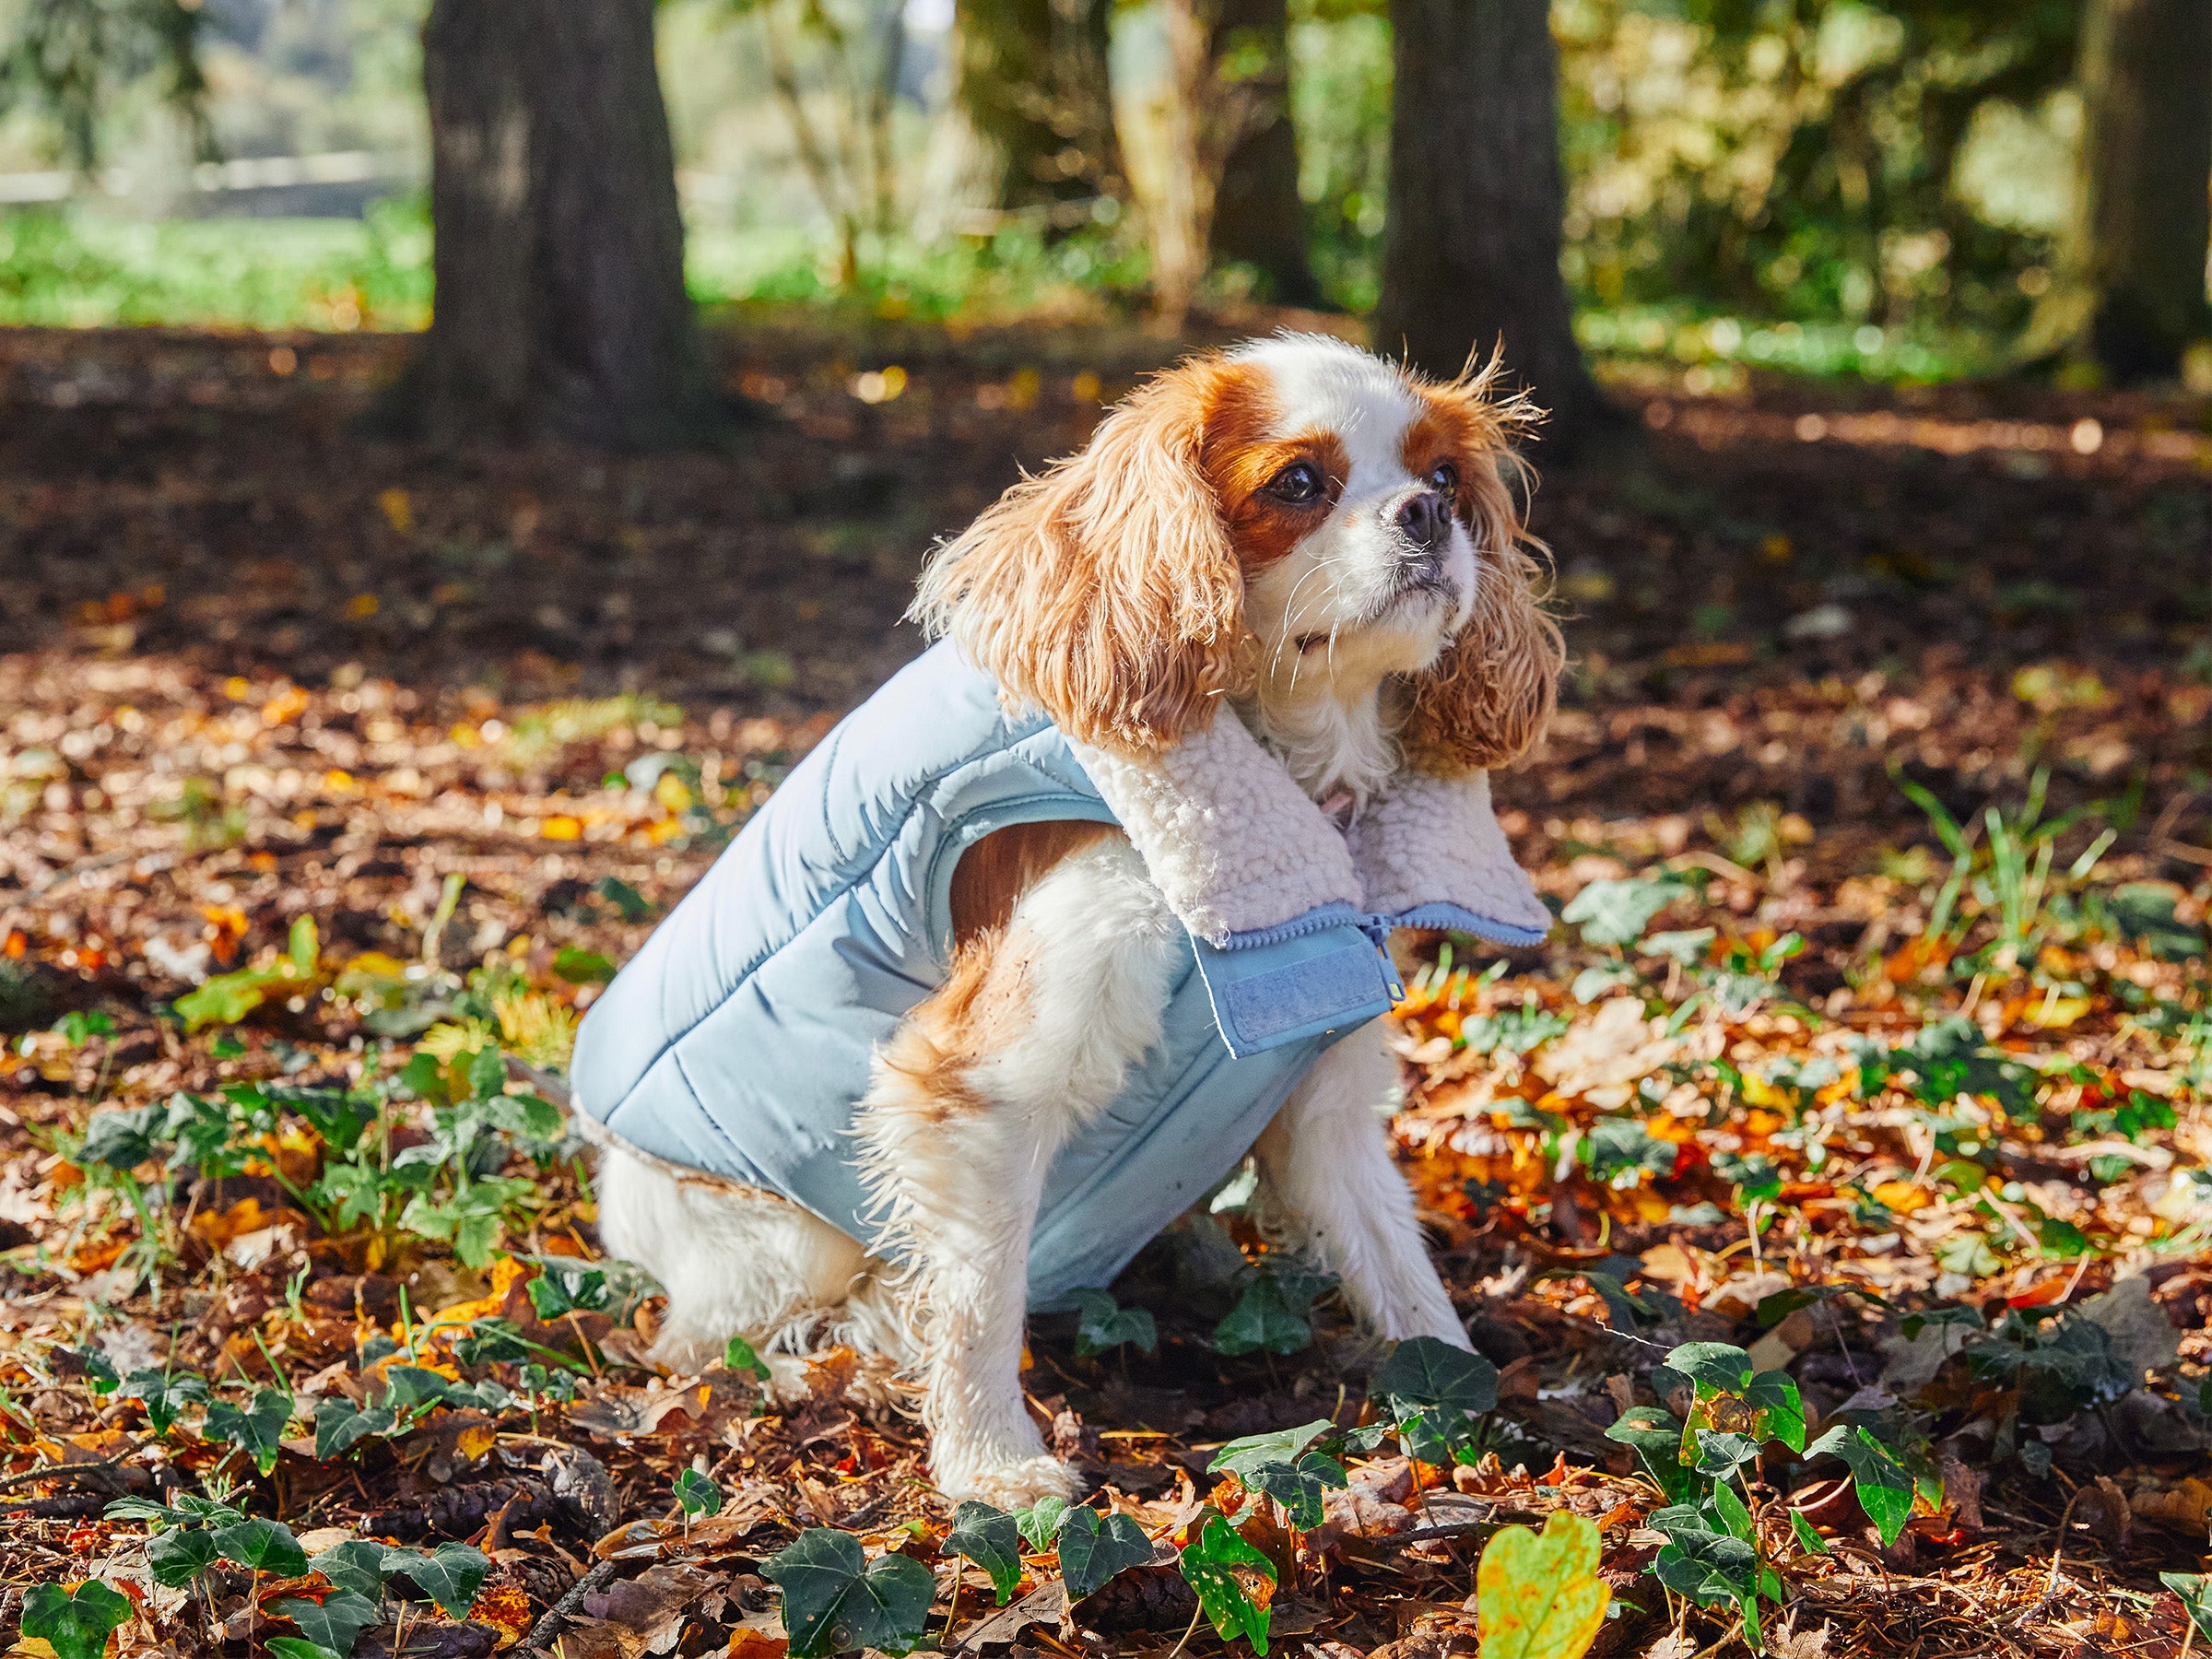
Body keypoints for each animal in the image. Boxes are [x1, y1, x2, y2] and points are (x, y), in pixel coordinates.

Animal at [579, 332, 1566, 1512]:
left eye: (1447, 478)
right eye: (1298, 484)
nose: (1426, 513)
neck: (1275, 760)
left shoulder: (1322, 1098)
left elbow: (1400, 1264)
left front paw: (1466, 1396)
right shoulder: (978, 1082)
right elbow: (978, 1294)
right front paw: (991, 1465)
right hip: (772, 1243)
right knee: (706, 1340)